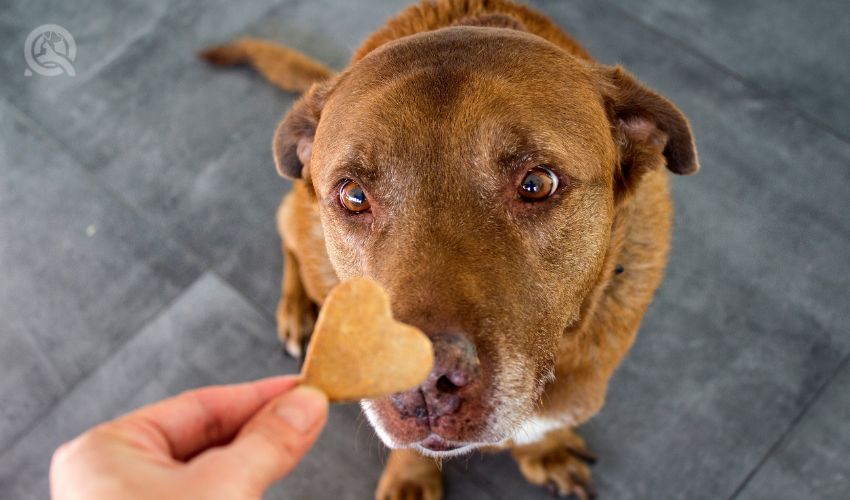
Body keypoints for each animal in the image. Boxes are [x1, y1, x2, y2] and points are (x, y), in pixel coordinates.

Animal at [202, 1, 700, 498]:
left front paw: (546, 451)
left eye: (537, 184)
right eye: (354, 195)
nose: (420, 384)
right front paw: (410, 477)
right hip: (302, 227)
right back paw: (298, 311)